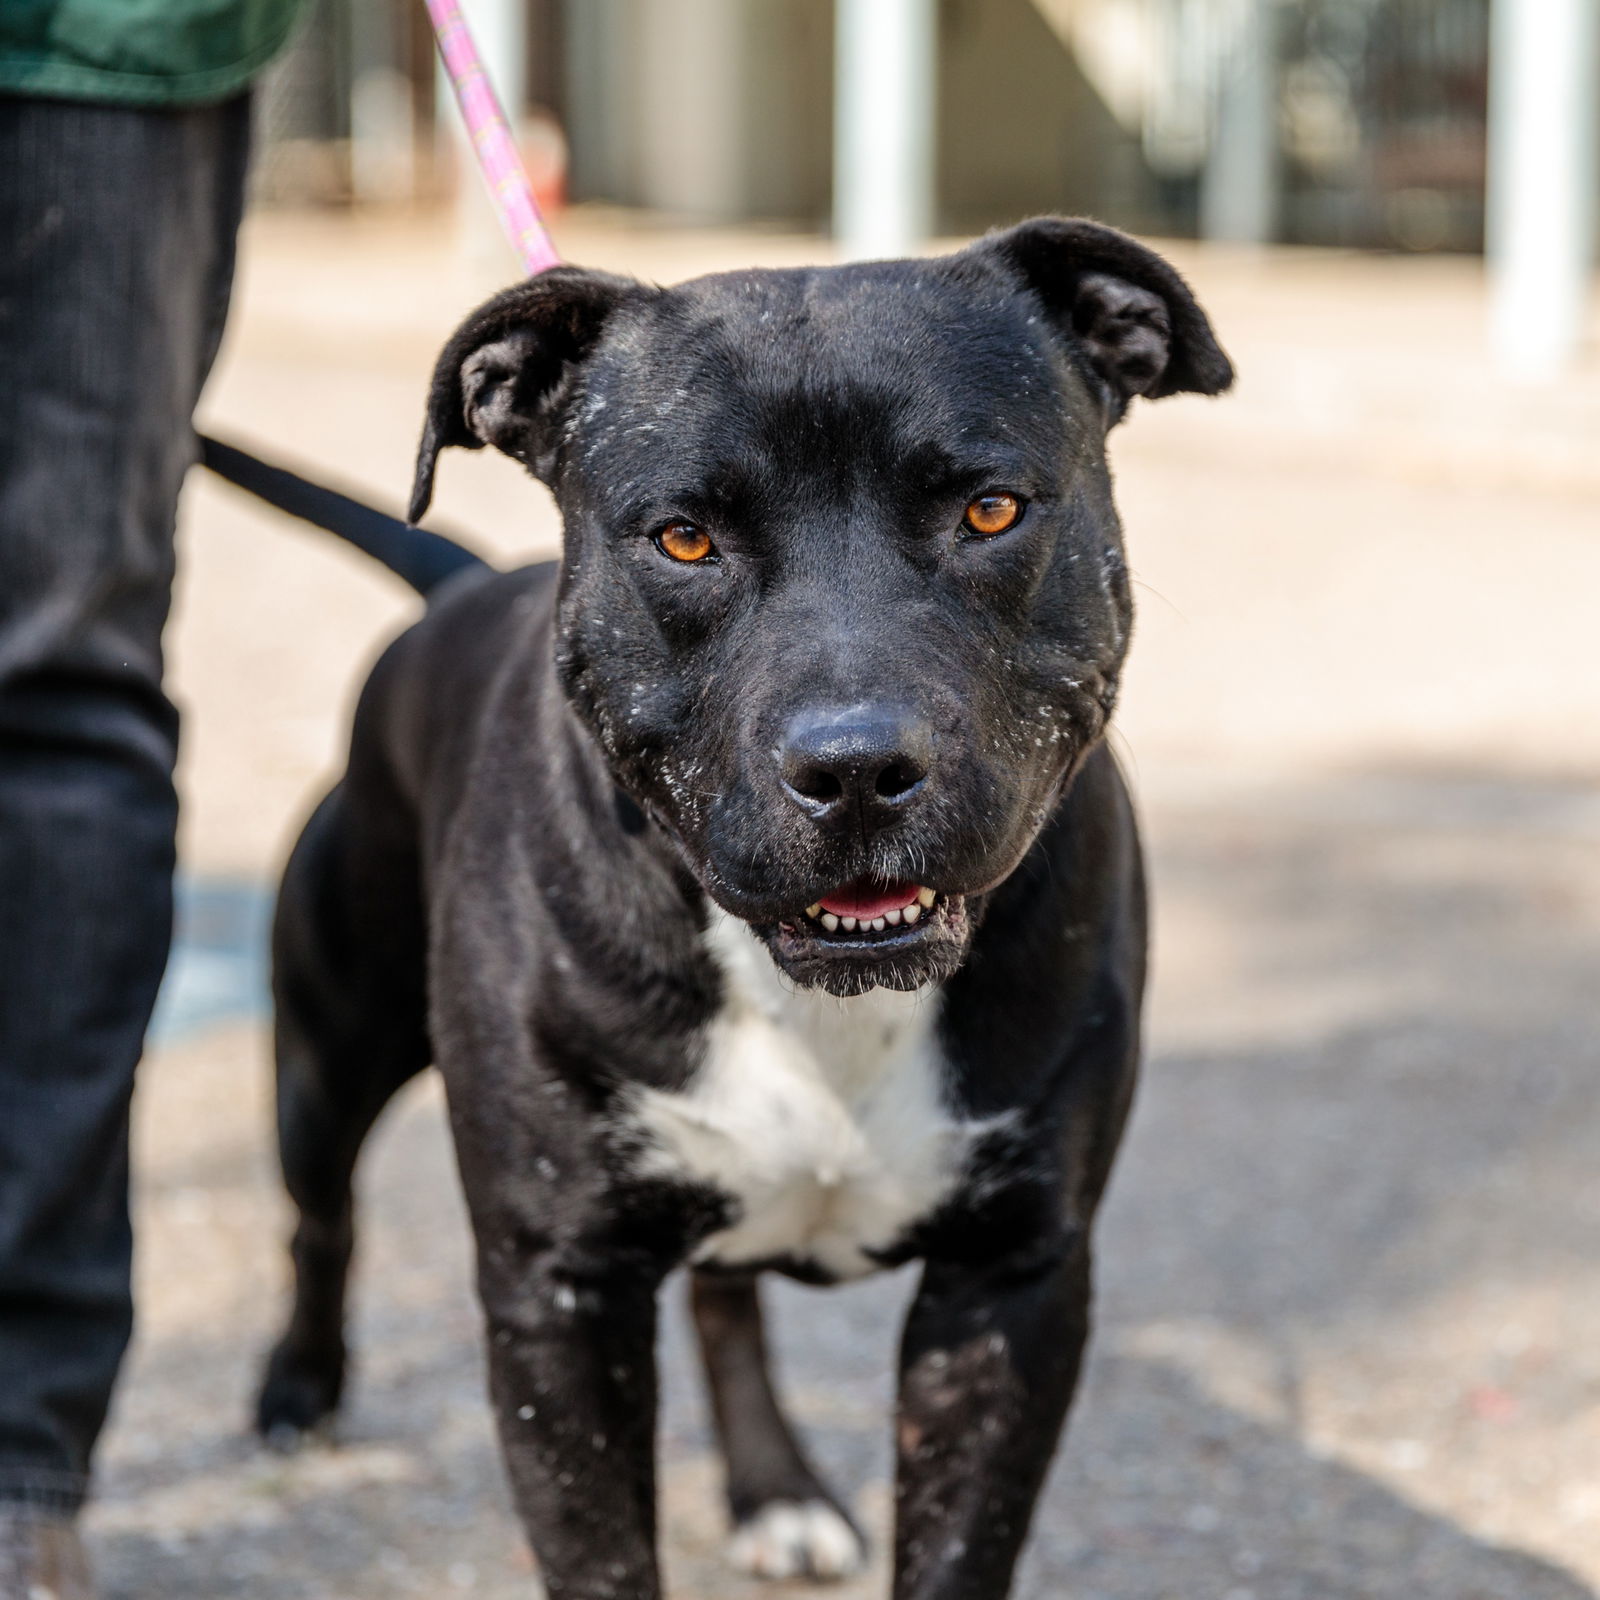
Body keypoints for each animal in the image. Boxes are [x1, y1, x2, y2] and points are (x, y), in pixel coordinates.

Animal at [256, 222, 1228, 1600]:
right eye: (682, 540)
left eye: (991, 508)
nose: (856, 765)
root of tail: (457, 589)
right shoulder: (558, 1293)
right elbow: (602, 1558)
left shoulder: (1012, 1283)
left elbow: (957, 1547)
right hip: (328, 1052)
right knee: (320, 1215)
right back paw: (298, 1387)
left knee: (722, 1297)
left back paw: (775, 1490)